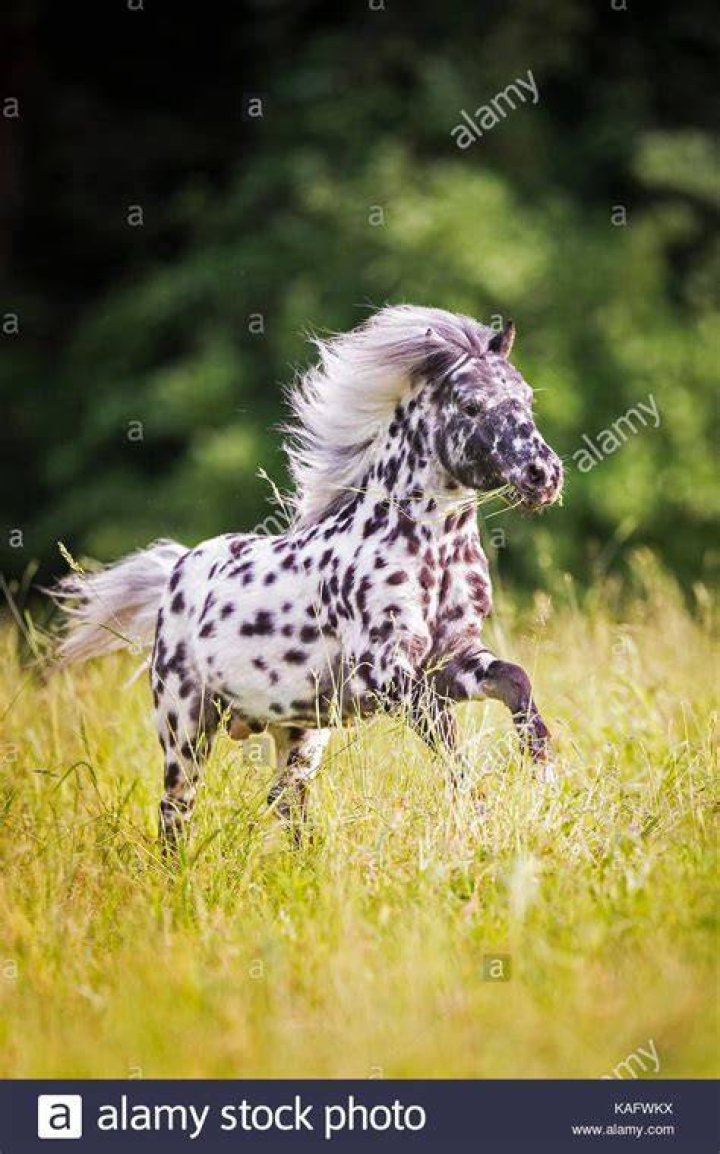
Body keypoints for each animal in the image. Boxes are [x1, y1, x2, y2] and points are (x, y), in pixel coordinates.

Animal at [53, 305, 564, 848]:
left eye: (526, 397)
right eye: (470, 405)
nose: (543, 474)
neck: (430, 549)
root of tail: (179, 567)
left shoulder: (454, 659)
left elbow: (515, 681)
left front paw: (545, 776)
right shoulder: (387, 673)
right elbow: (447, 742)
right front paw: (480, 816)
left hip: (299, 731)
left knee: (285, 802)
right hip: (185, 725)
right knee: (176, 810)